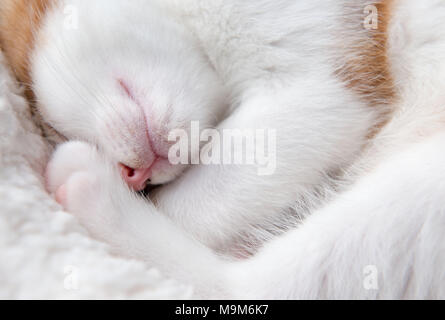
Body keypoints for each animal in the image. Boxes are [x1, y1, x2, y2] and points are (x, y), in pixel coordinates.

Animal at [2, 0, 444, 298]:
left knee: (254, 288)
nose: (134, 178)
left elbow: (200, 203)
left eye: (50, 124)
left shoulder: (319, 86)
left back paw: (91, 190)